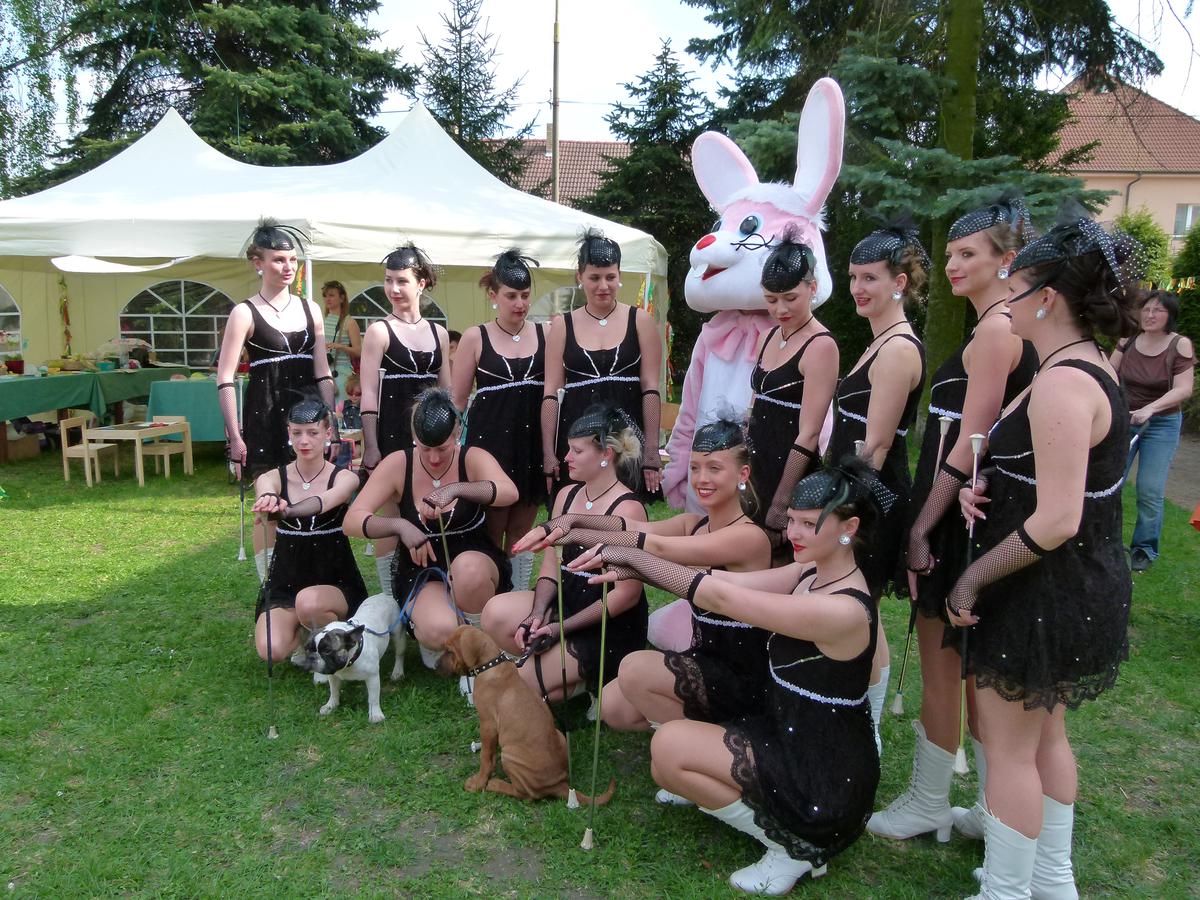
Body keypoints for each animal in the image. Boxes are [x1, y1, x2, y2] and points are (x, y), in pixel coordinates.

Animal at [295, 593, 406, 723]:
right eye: (307, 648)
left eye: (327, 651)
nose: (312, 657)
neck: (349, 662)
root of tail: (383, 595)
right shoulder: (333, 676)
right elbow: (334, 691)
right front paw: (331, 705)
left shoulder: (372, 677)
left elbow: (373, 698)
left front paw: (375, 714)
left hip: (398, 635)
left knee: (399, 654)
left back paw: (397, 672)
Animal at [438, 624, 615, 804]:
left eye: (449, 651)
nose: (436, 666)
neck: (490, 665)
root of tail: (559, 785)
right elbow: (491, 756)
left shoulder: (487, 724)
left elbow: (485, 757)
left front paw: (479, 783)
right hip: (559, 736)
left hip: (510, 754)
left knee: (525, 795)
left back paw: (496, 784)